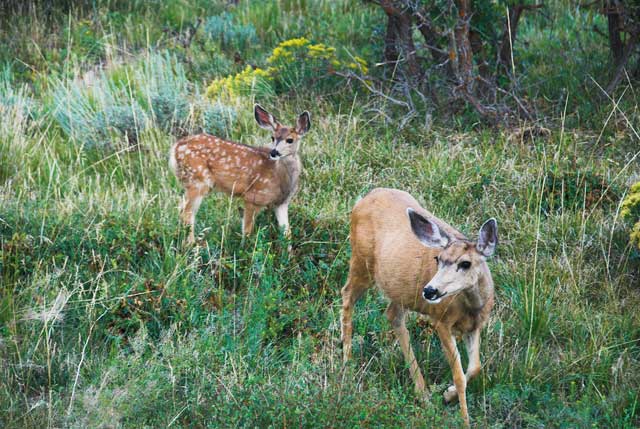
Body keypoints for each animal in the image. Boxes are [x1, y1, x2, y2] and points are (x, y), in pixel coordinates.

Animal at [169, 104, 312, 244]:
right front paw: (245, 247)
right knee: (186, 213)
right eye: (273, 137)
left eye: (290, 140)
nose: (274, 152)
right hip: (197, 180)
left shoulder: (282, 203)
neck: (280, 178)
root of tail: (175, 148)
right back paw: (191, 245)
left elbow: (287, 233)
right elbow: (247, 230)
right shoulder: (253, 197)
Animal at [342, 187, 498, 424]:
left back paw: (422, 393)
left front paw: (447, 394)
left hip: (399, 289)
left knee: (392, 315)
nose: (430, 290)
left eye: (466, 263)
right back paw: (346, 363)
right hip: (361, 261)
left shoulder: (475, 326)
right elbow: (459, 375)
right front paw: (464, 420)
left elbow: (475, 368)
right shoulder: (441, 320)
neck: (471, 308)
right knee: (347, 295)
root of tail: (365, 198)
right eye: (438, 259)